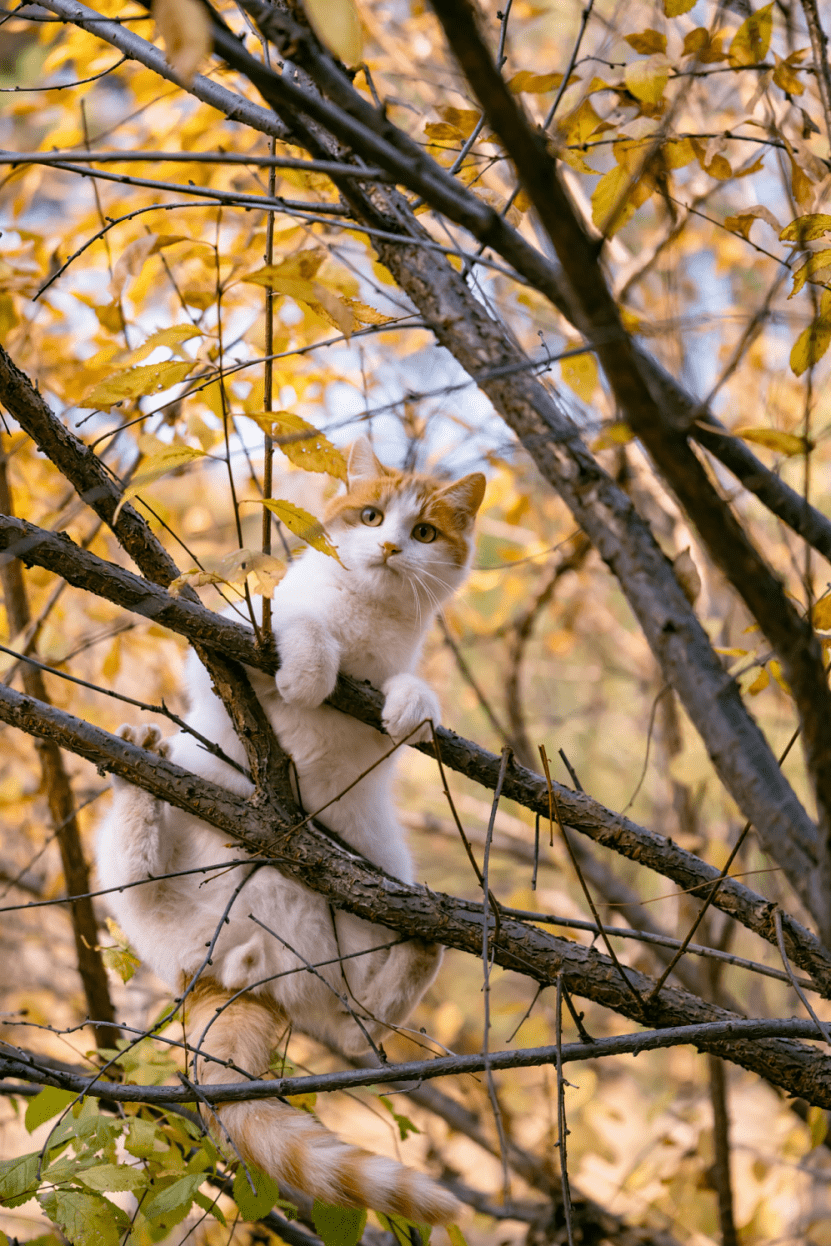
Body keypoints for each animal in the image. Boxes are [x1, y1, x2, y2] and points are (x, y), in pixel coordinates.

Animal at [96, 441, 488, 1226]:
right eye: (369, 517)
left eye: (424, 532)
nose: (390, 547)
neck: (364, 618)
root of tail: (228, 969)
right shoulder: (226, 645)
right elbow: (297, 631)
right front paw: (308, 671)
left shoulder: (374, 725)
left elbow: (412, 698)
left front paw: (411, 706)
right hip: (155, 868)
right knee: (134, 874)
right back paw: (139, 778)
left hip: (356, 913)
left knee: (359, 1021)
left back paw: (421, 940)